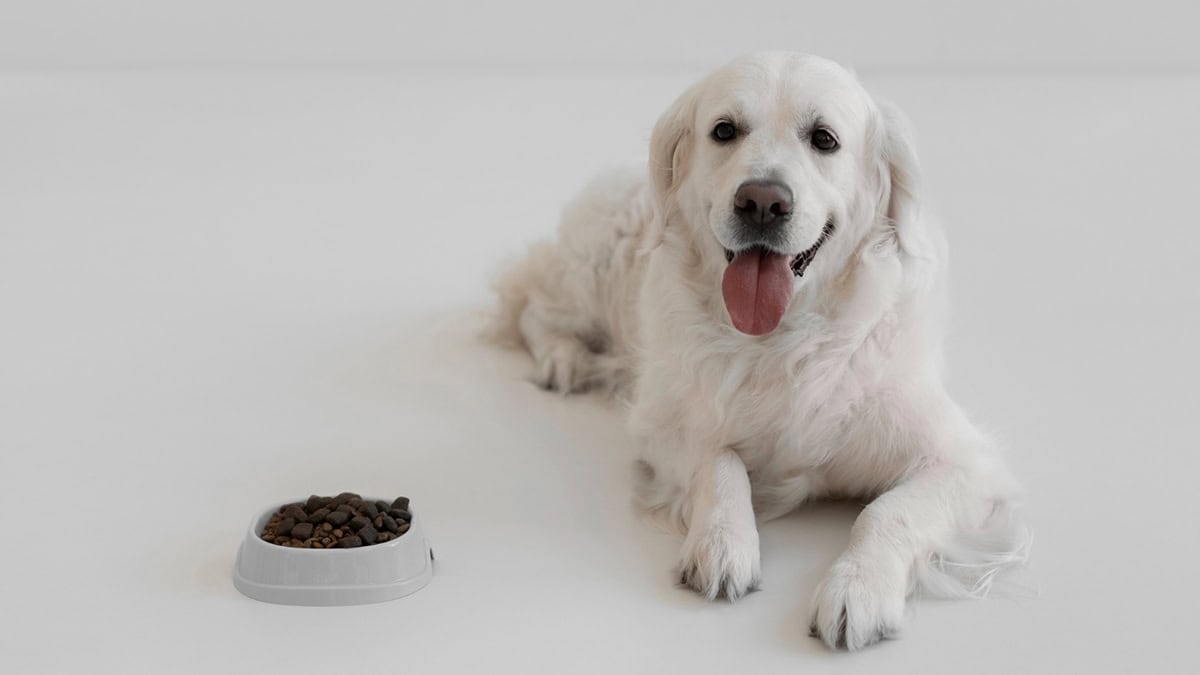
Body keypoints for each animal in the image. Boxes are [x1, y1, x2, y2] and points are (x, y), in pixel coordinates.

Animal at [492, 49, 1027, 648]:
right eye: (724, 130)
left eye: (824, 139)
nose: (762, 202)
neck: (781, 338)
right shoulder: (663, 424)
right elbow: (720, 462)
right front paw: (723, 543)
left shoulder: (965, 463)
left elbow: (890, 510)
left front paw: (858, 587)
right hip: (590, 271)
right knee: (534, 304)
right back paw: (563, 359)